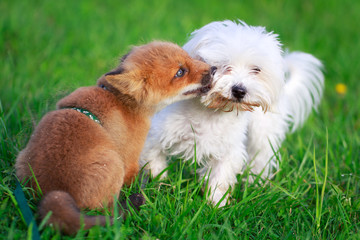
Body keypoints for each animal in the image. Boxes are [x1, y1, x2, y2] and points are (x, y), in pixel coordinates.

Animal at [140, 20, 324, 206]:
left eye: (256, 70)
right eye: (219, 67)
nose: (239, 90)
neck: (211, 112)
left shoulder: (228, 151)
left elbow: (219, 178)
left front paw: (216, 204)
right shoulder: (155, 136)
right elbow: (154, 164)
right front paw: (156, 187)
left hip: (262, 134)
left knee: (261, 157)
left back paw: (255, 184)